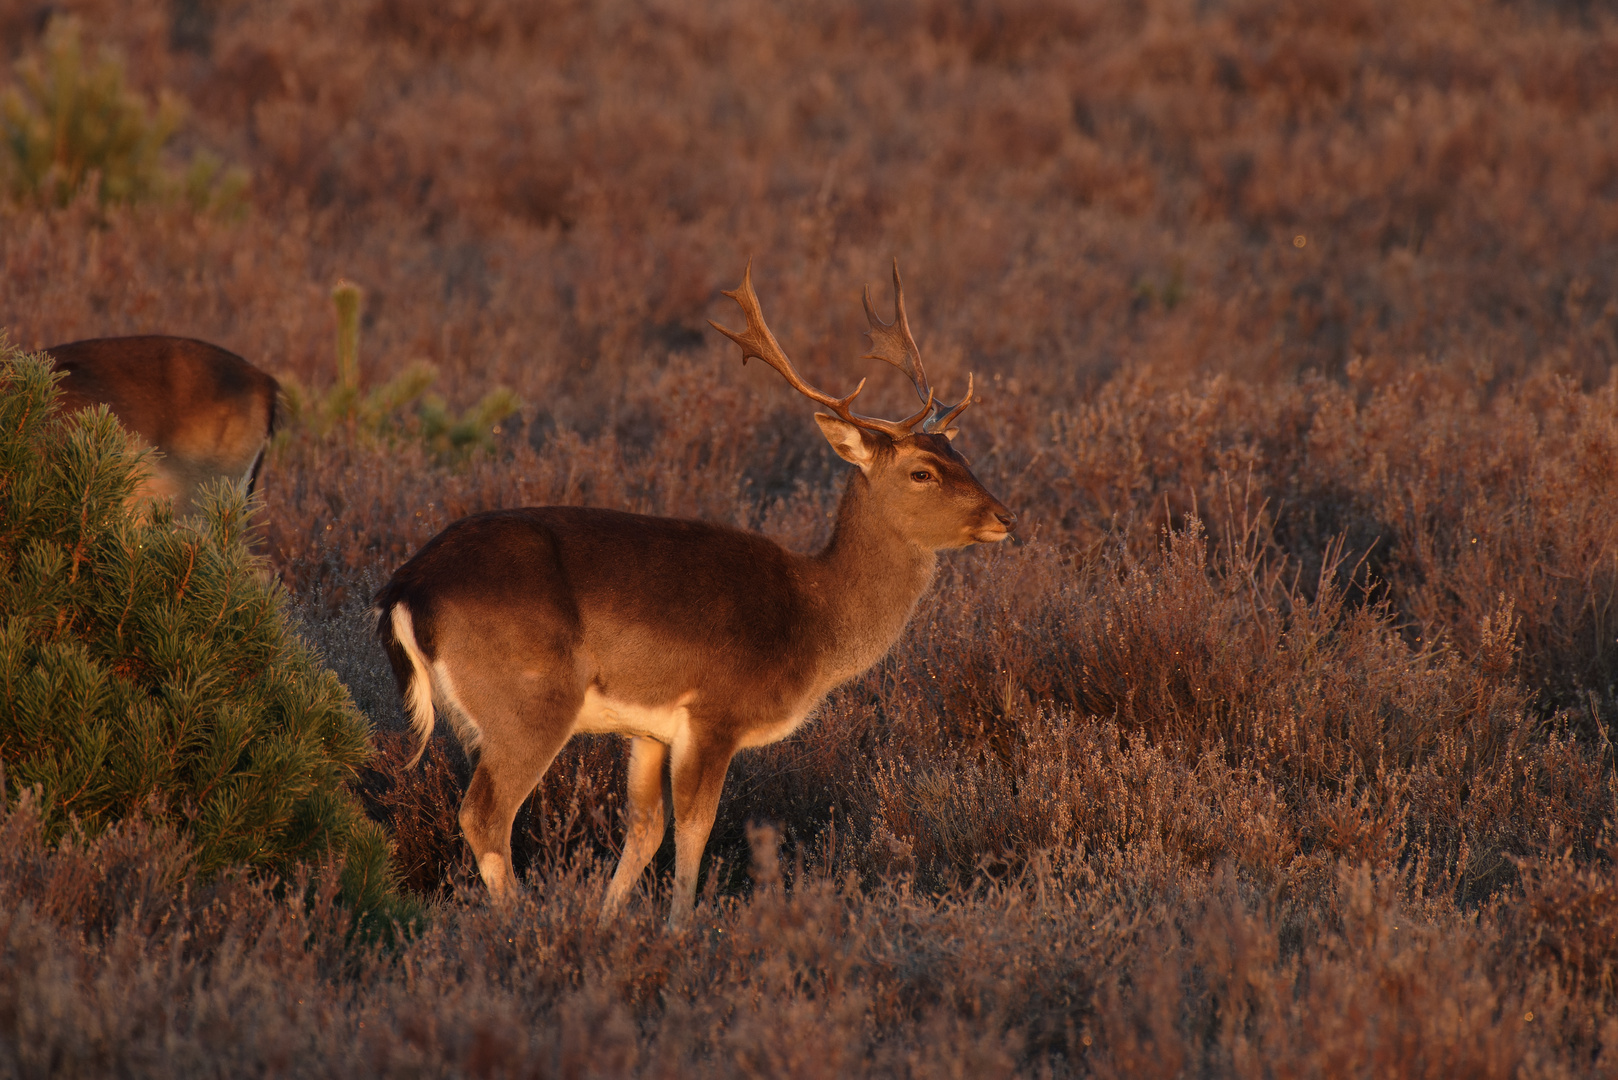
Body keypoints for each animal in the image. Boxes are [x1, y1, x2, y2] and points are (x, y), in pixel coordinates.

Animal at [375, 262, 1009, 932]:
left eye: (961, 454)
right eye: (922, 472)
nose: (1005, 517)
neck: (815, 618)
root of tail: (405, 589)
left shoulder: (649, 727)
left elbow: (645, 828)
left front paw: (610, 923)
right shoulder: (715, 710)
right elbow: (696, 829)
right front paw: (680, 929)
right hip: (529, 699)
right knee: (485, 815)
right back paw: (522, 924)